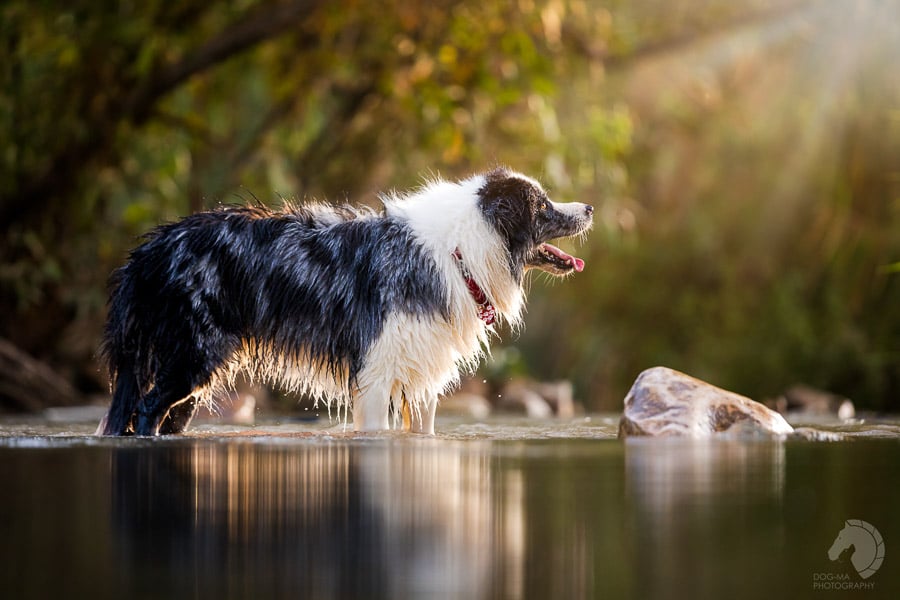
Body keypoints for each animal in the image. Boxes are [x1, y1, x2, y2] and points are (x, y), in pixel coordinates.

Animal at [98, 169, 592, 436]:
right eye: (543, 206)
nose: (588, 208)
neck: (459, 251)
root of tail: (151, 249)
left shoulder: (421, 373)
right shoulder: (376, 371)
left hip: (197, 372)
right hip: (193, 354)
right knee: (147, 408)